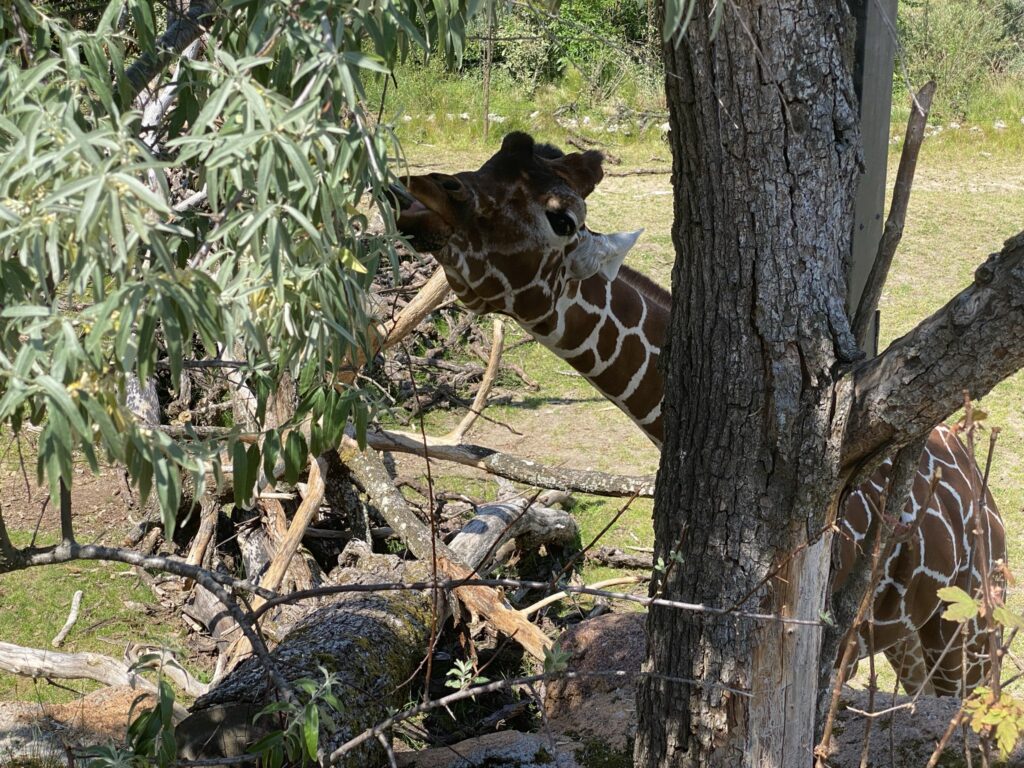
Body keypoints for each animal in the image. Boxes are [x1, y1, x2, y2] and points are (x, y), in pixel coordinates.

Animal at [394, 131, 1006, 696]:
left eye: (562, 219)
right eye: (492, 158)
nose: (418, 195)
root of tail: (987, 499)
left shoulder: (834, 644)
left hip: (967, 633)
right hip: (908, 640)